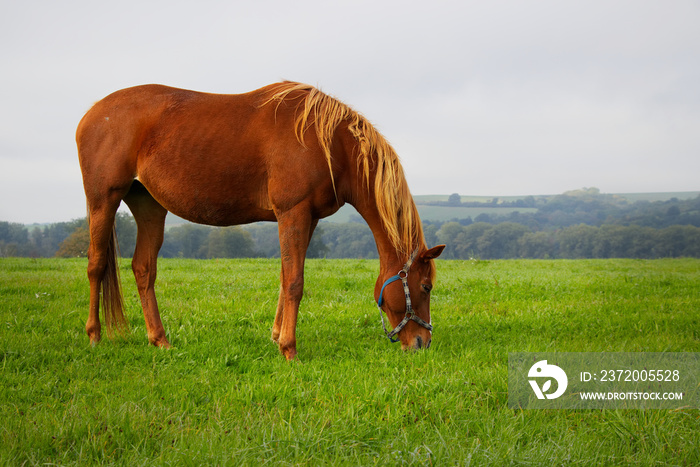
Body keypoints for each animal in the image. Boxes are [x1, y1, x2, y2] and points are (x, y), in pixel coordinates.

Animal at [76, 82, 446, 360]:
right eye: (426, 287)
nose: (423, 343)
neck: (328, 142)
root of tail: (91, 113)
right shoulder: (293, 213)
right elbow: (295, 282)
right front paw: (289, 348)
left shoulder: (306, 218)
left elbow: (285, 277)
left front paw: (276, 335)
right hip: (103, 200)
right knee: (96, 264)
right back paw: (93, 336)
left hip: (149, 207)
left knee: (143, 269)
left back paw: (159, 339)